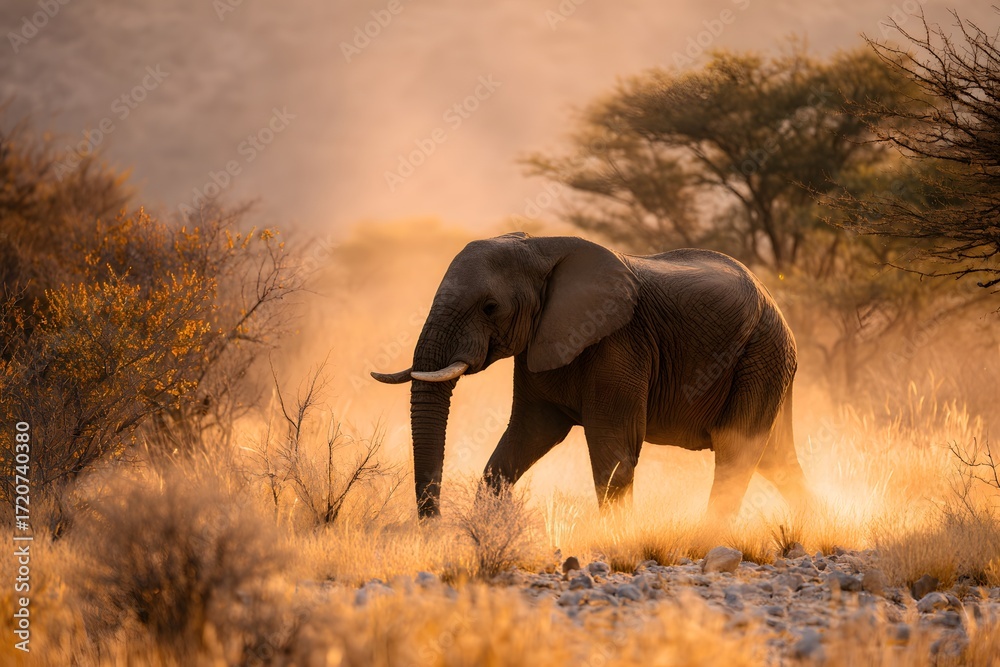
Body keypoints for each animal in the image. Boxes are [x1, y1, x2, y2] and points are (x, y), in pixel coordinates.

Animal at [372, 232, 809, 519]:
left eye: (490, 307)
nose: (435, 529)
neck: (539, 248)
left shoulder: (620, 342)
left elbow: (614, 454)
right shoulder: (541, 343)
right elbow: (527, 435)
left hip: (761, 354)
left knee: (736, 452)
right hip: (768, 361)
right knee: (775, 459)